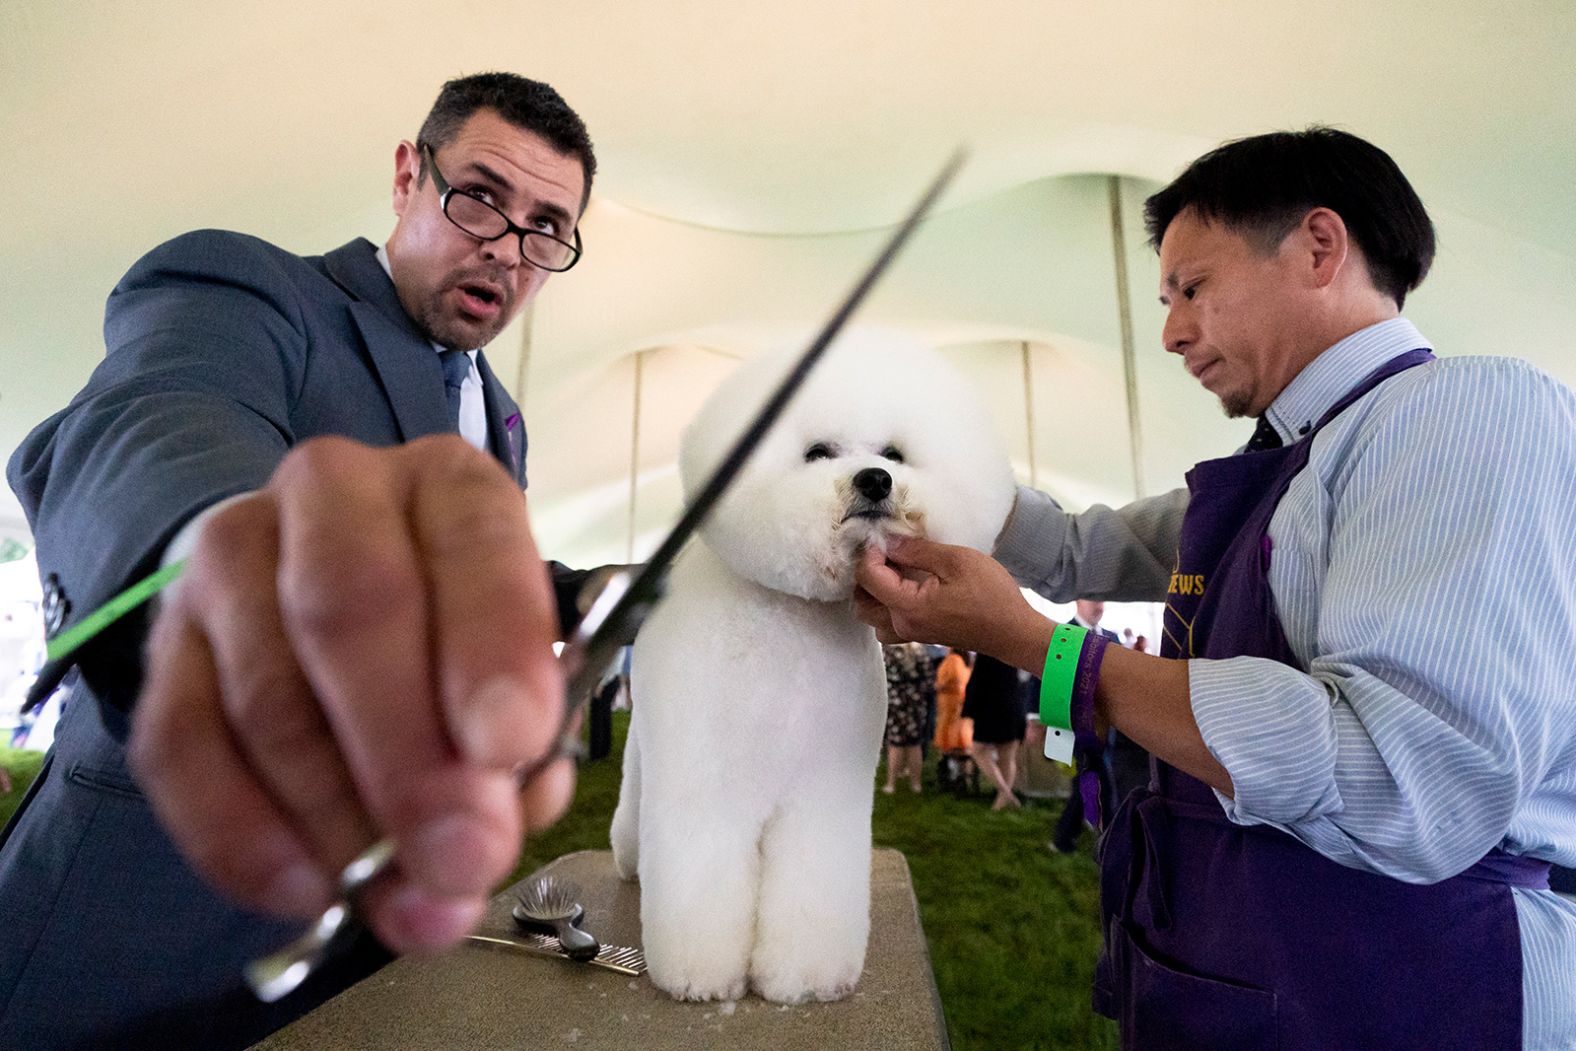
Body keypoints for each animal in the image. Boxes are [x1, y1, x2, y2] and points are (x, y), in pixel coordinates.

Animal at [602, 335, 1008, 1002]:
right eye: (817, 452)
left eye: (893, 453)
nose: (876, 479)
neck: (791, 624)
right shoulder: (706, 787)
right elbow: (701, 880)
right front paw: (699, 976)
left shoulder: (824, 792)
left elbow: (813, 882)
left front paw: (804, 980)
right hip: (647, 761)